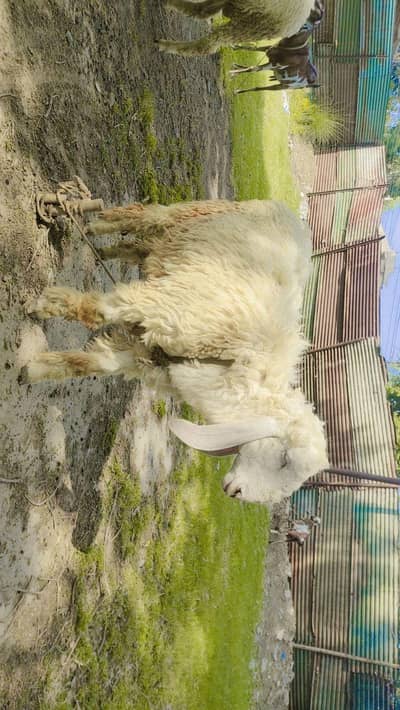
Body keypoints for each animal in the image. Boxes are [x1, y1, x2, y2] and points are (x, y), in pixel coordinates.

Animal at [21, 198, 328, 506]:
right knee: (144, 216)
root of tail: (293, 218)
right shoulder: (163, 306)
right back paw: (98, 226)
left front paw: (34, 369)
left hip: (177, 242)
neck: (234, 366)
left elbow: (98, 363)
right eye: (285, 458)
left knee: (140, 248)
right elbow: (99, 311)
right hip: (187, 215)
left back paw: (106, 251)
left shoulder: (153, 355)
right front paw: (42, 306)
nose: (236, 493)